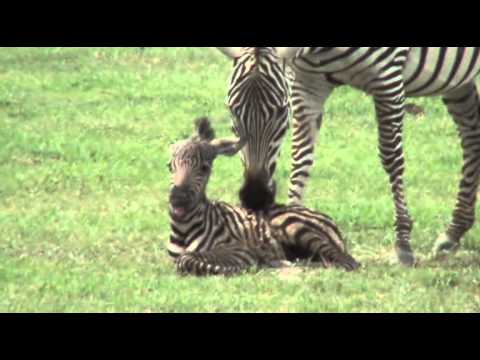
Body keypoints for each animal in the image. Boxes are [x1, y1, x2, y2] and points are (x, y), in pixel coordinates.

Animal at [167, 117, 358, 276]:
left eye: (204, 168)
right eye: (169, 166)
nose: (177, 198)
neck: (183, 228)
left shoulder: (239, 250)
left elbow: (186, 260)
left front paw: (227, 268)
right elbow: (182, 260)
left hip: (295, 226)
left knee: (346, 261)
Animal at [217, 46, 480, 266]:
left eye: (281, 110)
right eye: (231, 109)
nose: (254, 196)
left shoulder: (388, 79)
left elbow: (391, 157)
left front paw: (403, 243)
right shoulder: (306, 82)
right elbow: (301, 154)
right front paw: (292, 219)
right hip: (458, 80)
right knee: (471, 133)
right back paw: (453, 232)